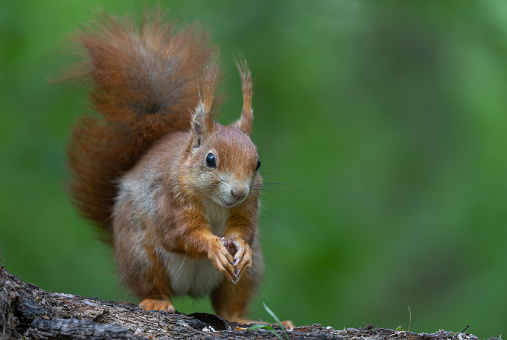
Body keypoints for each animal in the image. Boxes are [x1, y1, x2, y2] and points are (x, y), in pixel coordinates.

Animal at [64, 9, 274, 324]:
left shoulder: (249, 206)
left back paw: (241, 319)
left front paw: (242, 246)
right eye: (210, 159)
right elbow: (179, 234)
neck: (215, 203)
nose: (239, 192)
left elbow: (244, 230)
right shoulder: (170, 199)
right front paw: (213, 245)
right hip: (141, 255)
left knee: (231, 302)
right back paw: (158, 301)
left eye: (258, 162)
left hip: (251, 272)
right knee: (152, 283)